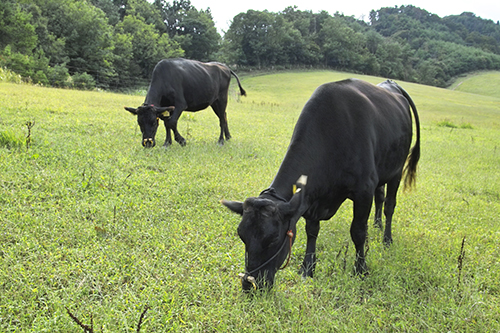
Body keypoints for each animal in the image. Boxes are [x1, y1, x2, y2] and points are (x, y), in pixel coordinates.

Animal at [221, 79, 420, 290]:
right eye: (241, 235)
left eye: (273, 238)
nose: (249, 284)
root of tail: (393, 85)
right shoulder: (311, 199)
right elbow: (312, 231)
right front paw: (308, 268)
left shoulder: (364, 189)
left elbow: (358, 231)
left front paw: (361, 269)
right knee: (380, 197)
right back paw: (377, 224)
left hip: (396, 171)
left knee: (389, 205)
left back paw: (387, 239)